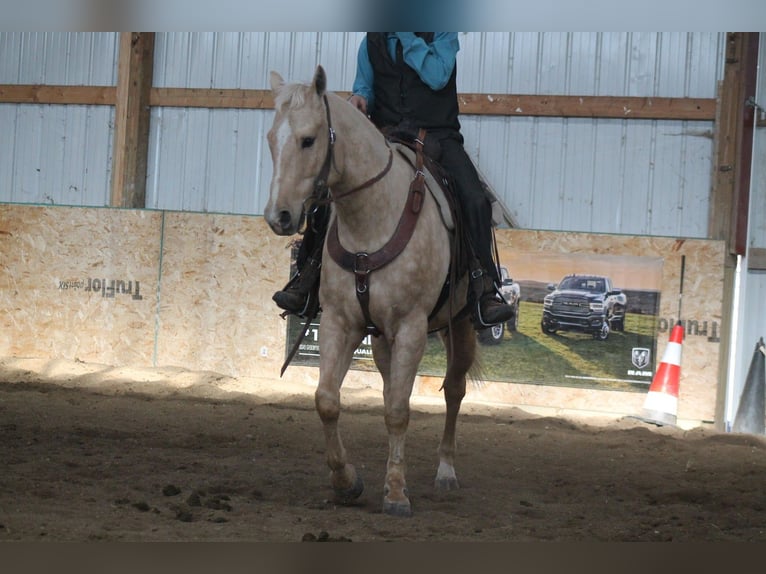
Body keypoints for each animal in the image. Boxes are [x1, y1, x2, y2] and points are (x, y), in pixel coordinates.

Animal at [264, 65, 478, 517]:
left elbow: (399, 410)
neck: (372, 220)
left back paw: (445, 471)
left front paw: (396, 493)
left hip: (463, 322)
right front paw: (347, 482)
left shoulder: (412, 328)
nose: (280, 217)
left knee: (453, 389)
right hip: (381, 338)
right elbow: (328, 399)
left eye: (309, 139)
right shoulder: (340, 323)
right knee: (388, 386)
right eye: (272, 138)